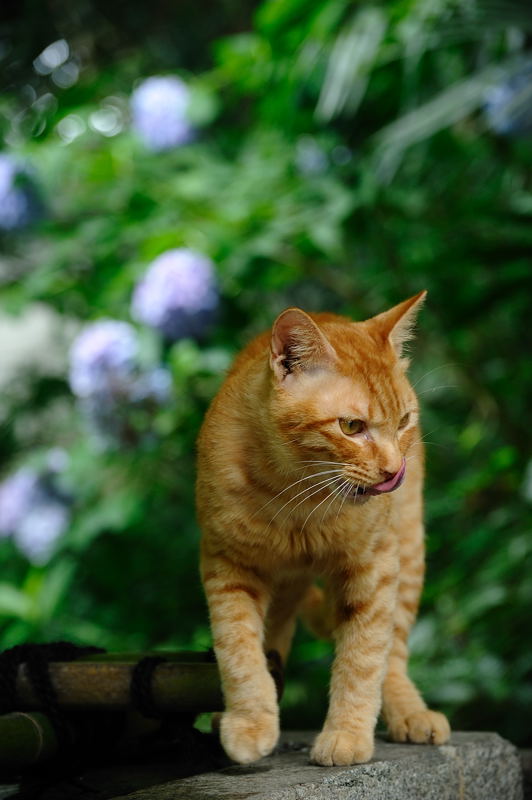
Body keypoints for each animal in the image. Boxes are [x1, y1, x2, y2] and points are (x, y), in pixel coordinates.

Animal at [197, 292, 450, 764]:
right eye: (351, 426)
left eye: (404, 422)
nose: (395, 471)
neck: (300, 501)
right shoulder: (228, 566)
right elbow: (239, 649)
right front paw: (251, 721)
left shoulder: (374, 567)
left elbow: (364, 657)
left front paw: (347, 734)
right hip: (283, 588)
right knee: (273, 643)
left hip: (407, 551)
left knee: (394, 653)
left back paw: (409, 711)